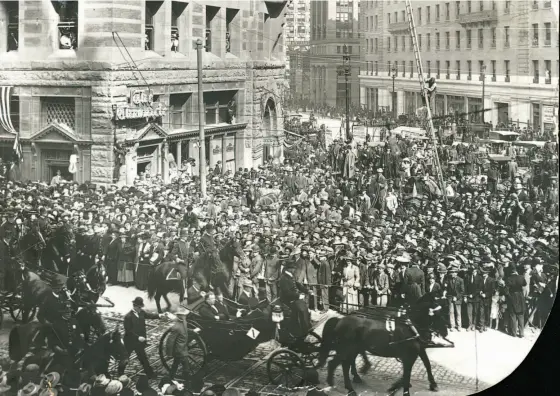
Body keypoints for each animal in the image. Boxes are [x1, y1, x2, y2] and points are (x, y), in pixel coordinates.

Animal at [318, 302, 448, 394]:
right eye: (438, 316)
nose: (446, 332)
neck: (410, 326)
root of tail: (340, 320)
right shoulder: (409, 356)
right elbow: (407, 373)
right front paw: (398, 387)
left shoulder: (419, 350)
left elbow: (427, 364)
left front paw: (433, 384)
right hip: (347, 349)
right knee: (337, 364)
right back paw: (341, 385)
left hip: (351, 349)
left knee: (347, 363)